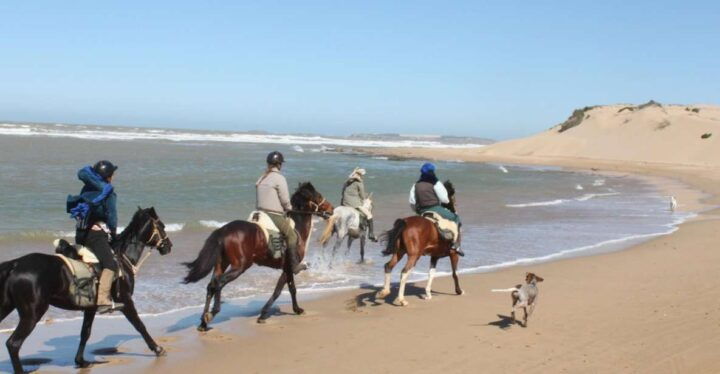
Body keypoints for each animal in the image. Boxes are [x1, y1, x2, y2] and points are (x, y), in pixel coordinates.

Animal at [0, 206, 173, 372]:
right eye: (162, 226)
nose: (169, 246)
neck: (122, 257)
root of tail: (15, 264)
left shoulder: (90, 308)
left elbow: (85, 333)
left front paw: (81, 361)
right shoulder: (125, 301)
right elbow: (140, 325)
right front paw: (157, 348)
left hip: (8, 307)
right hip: (32, 313)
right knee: (13, 343)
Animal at [183, 183, 334, 328]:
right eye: (318, 196)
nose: (331, 209)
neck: (296, 228)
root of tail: (224, 230)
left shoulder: (287, 268)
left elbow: (290, 289)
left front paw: (295, 309)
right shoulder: (289, 267)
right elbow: (281, 290)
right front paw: (266, 314)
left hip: (222, 264)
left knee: (211, 285)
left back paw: (203, 322)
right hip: (240, 266)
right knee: (218, 283)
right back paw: (212, 313)